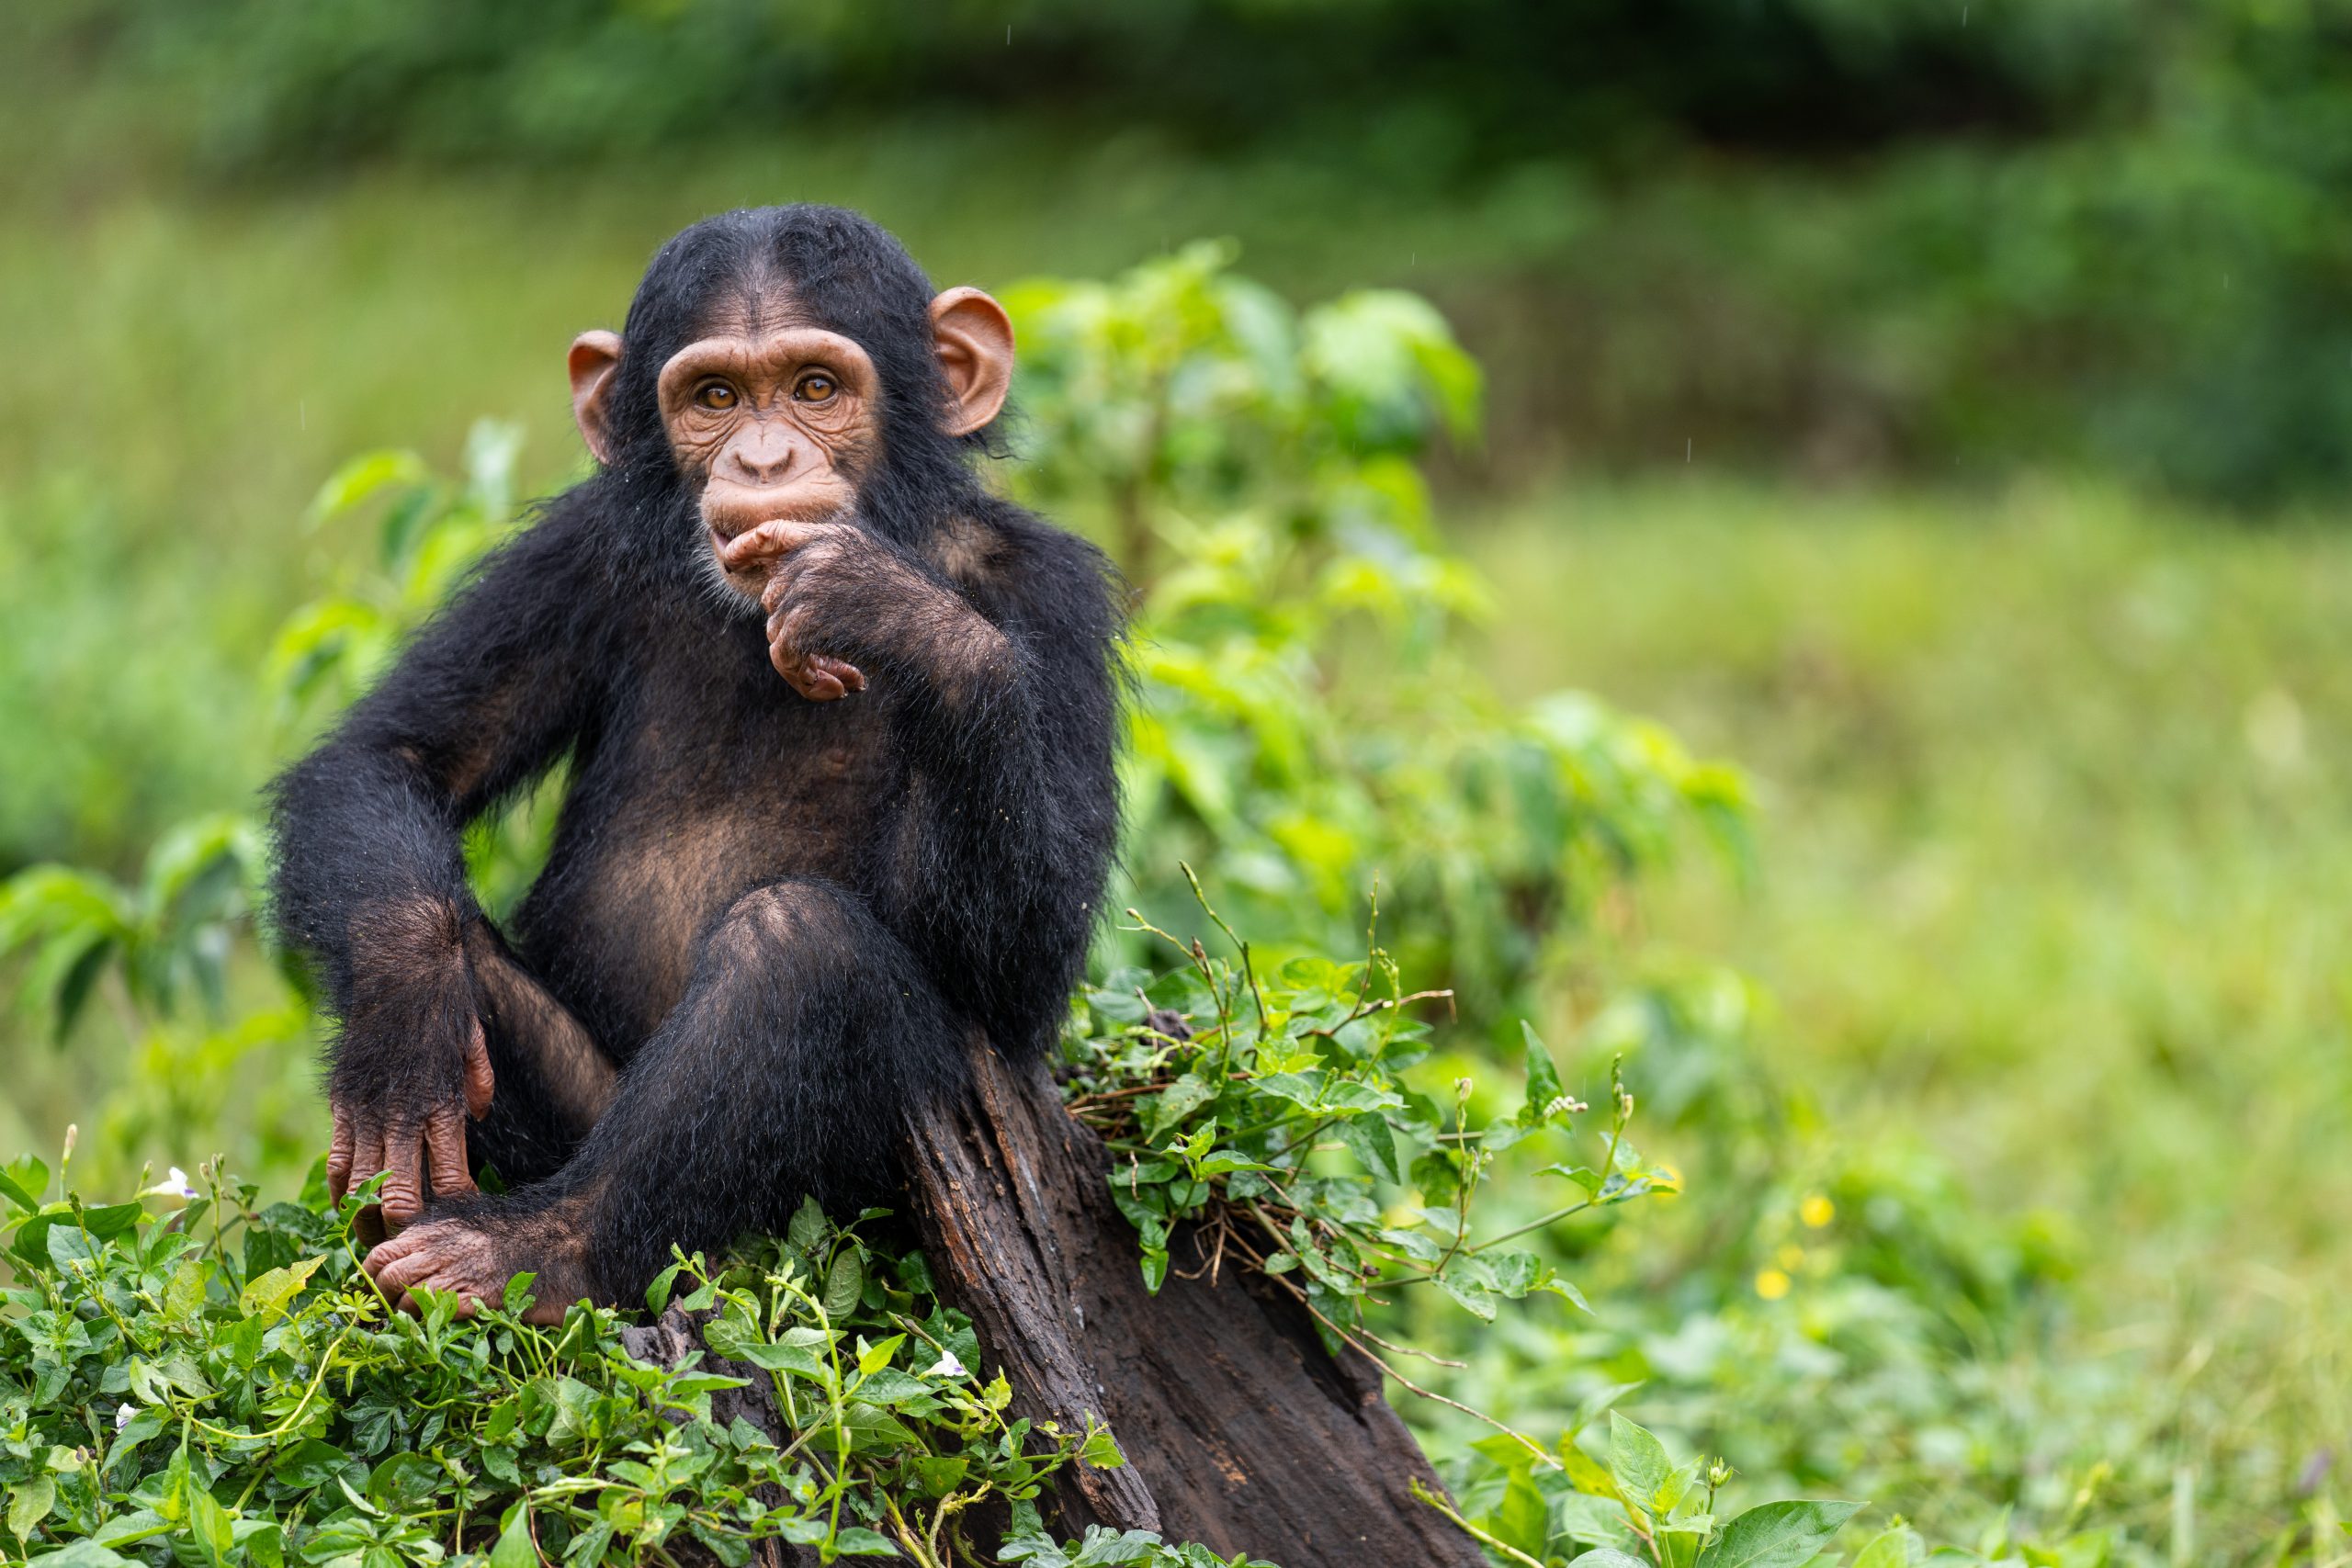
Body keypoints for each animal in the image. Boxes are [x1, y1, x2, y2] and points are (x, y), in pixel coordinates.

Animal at [266, 202, 1128, 1316]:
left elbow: (1017, 977)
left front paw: (891, 609)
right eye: (714, 397)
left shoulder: (1053, 596)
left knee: (796, 944)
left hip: (866, 1181)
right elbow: (394, 755)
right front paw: (401, 1022)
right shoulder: (574, 553)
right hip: (579, 1116)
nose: (760, 460)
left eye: (816, 388)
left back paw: (530, 1251)